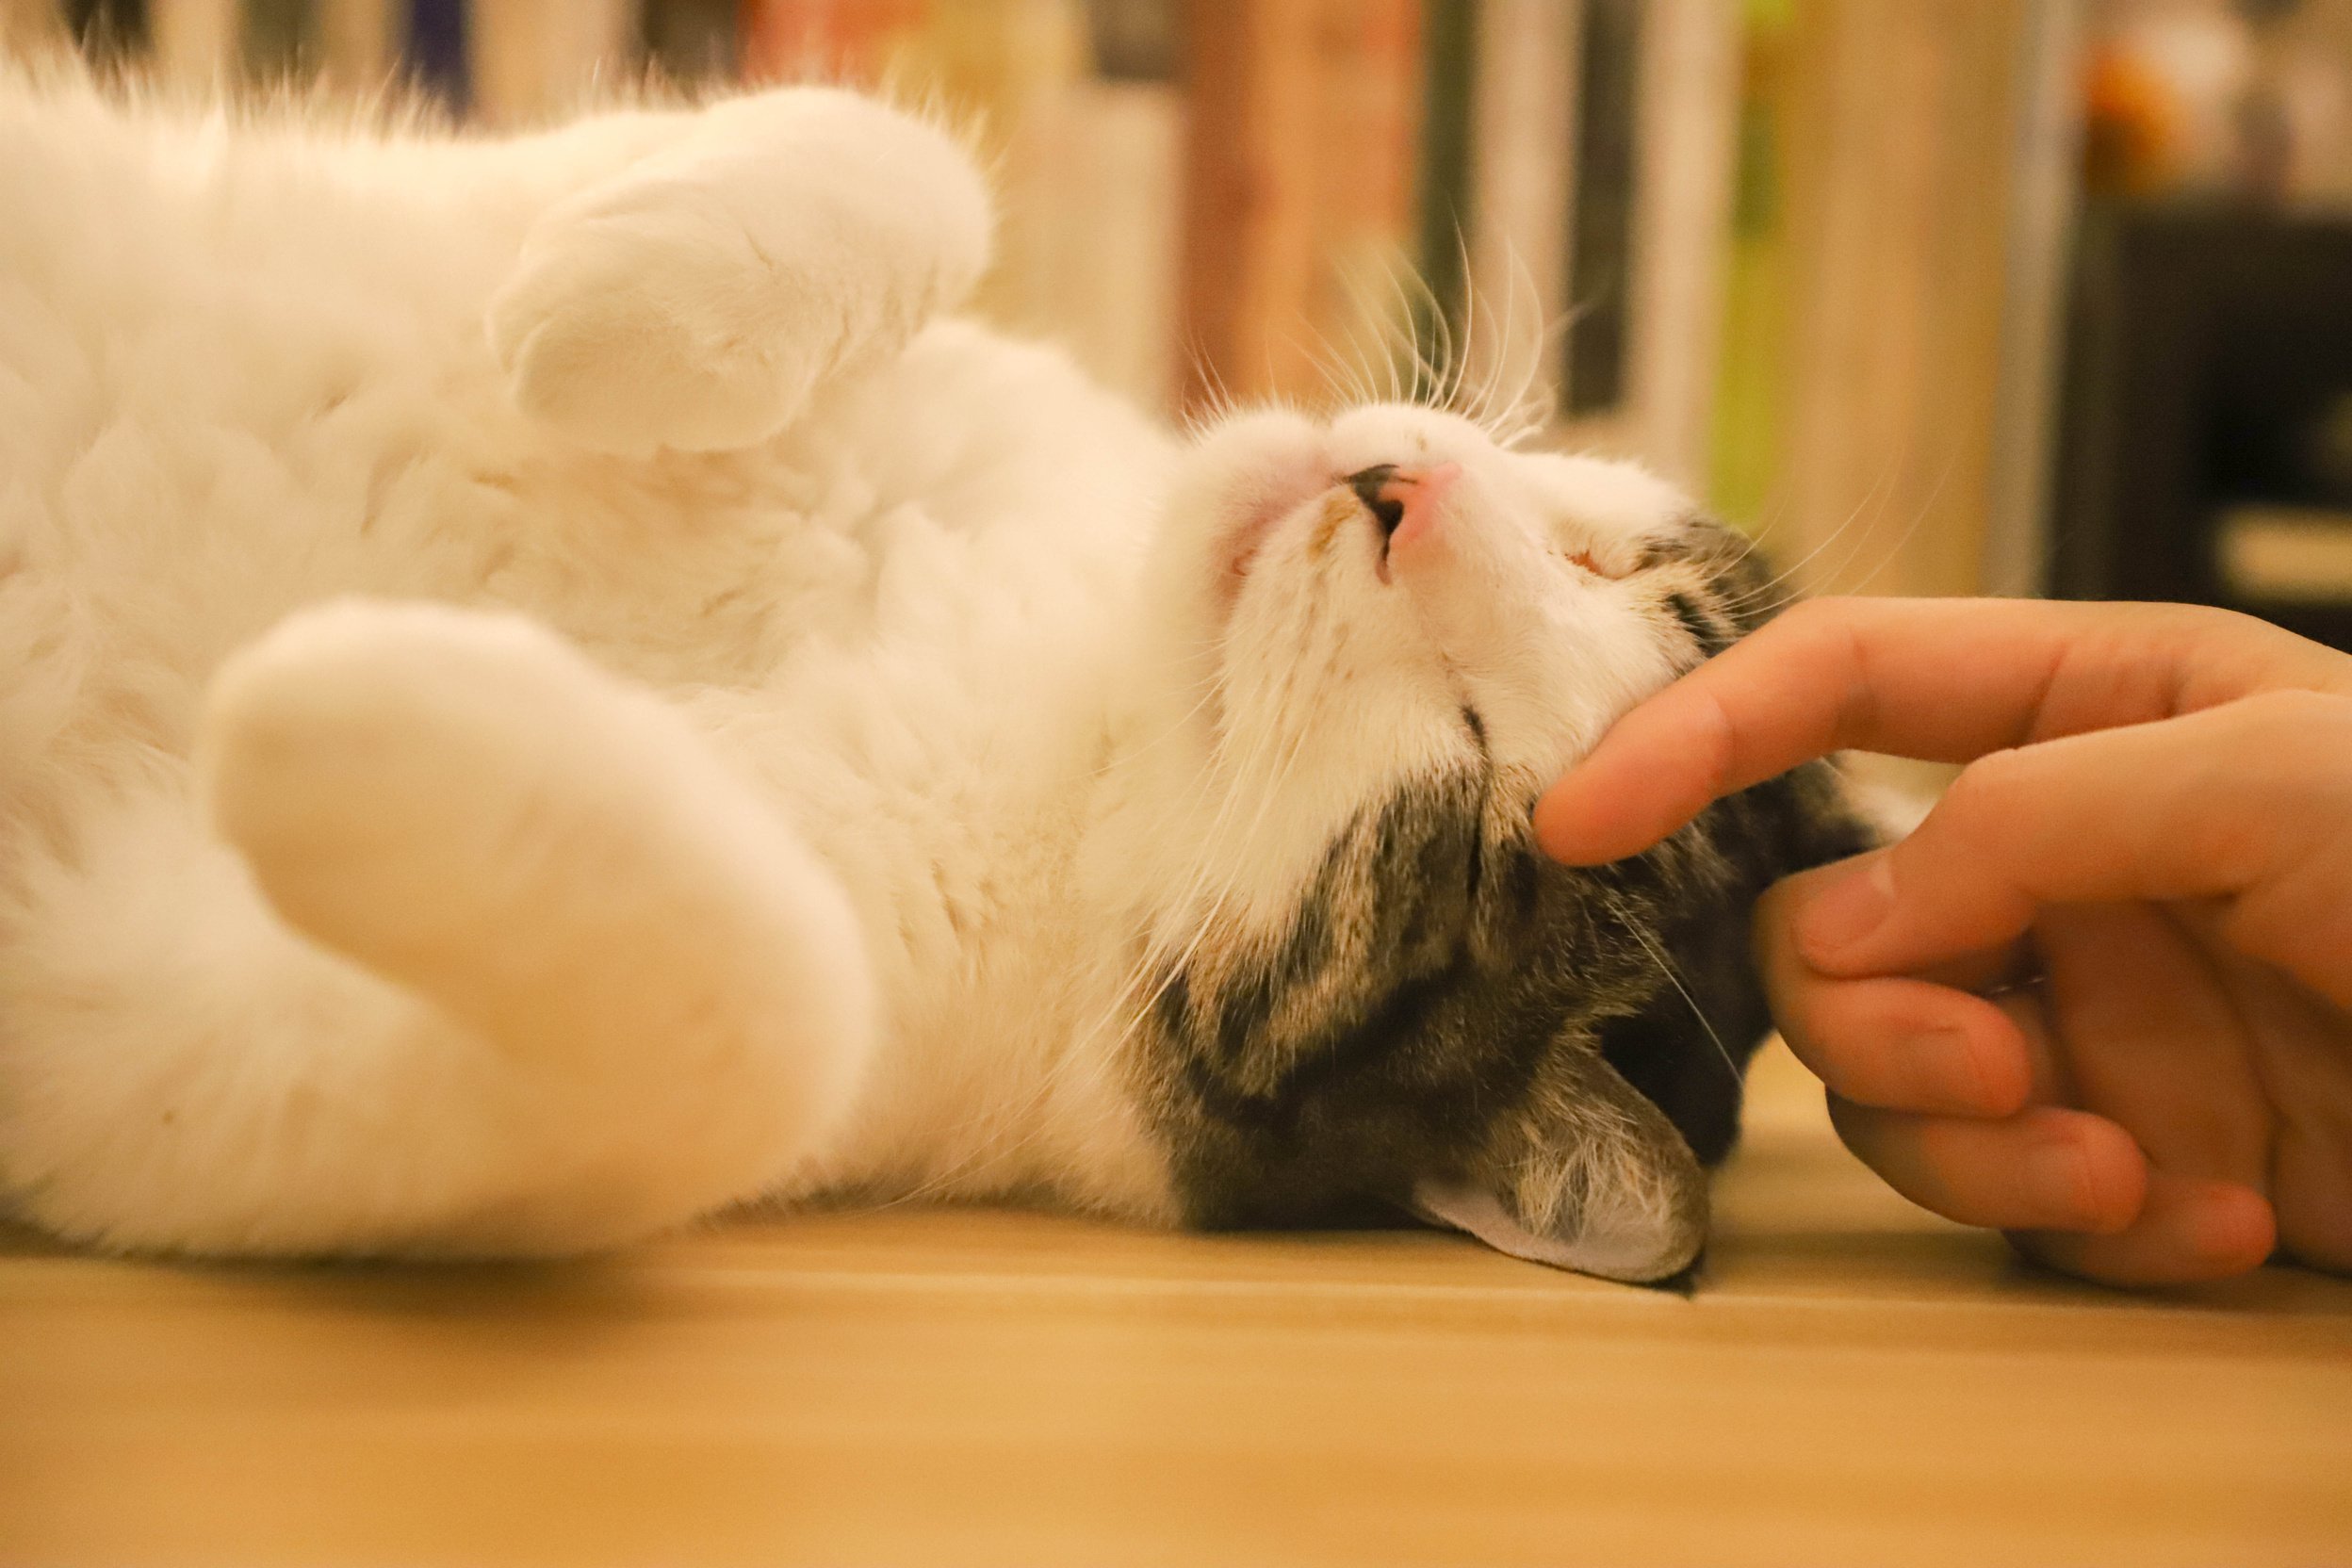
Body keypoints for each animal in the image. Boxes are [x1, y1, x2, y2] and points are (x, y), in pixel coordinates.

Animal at [0, 64, 1871, 1288]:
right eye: (1608, 568)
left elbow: (761, 1013)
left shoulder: (146, 1057)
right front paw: (603, 305)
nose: (1395, 498)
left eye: (1474, 808)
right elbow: (899, 162)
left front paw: (335, 697)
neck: (1058, 676)